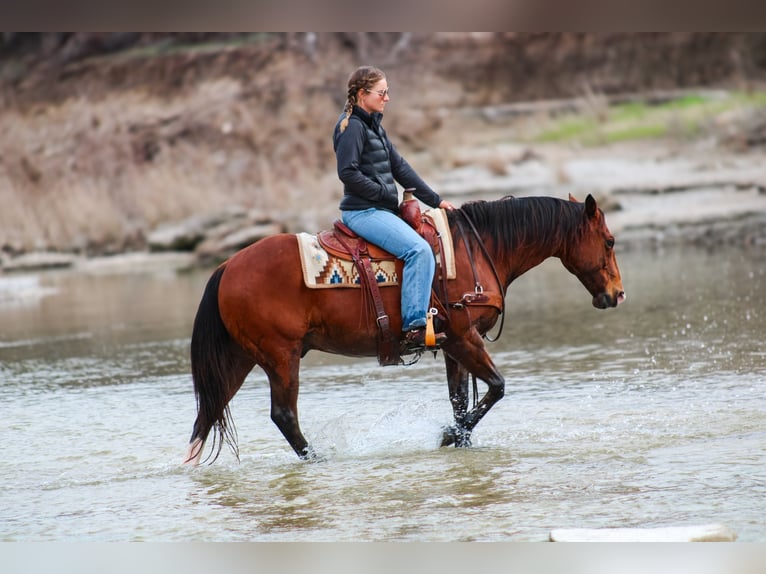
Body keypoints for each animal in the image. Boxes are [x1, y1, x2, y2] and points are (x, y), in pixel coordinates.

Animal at [184, 196, 624, 466]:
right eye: (609, 240)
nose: (617, 294)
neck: (475, 250)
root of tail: (227, 266)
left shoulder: (452, 346)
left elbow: (461, 401)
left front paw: (459, 440)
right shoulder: (465, 337)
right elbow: (496, 388)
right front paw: (447, 435)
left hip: (240, 359)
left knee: (206, 416)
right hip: (281, 356)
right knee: (283, 415)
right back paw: (318, 459)